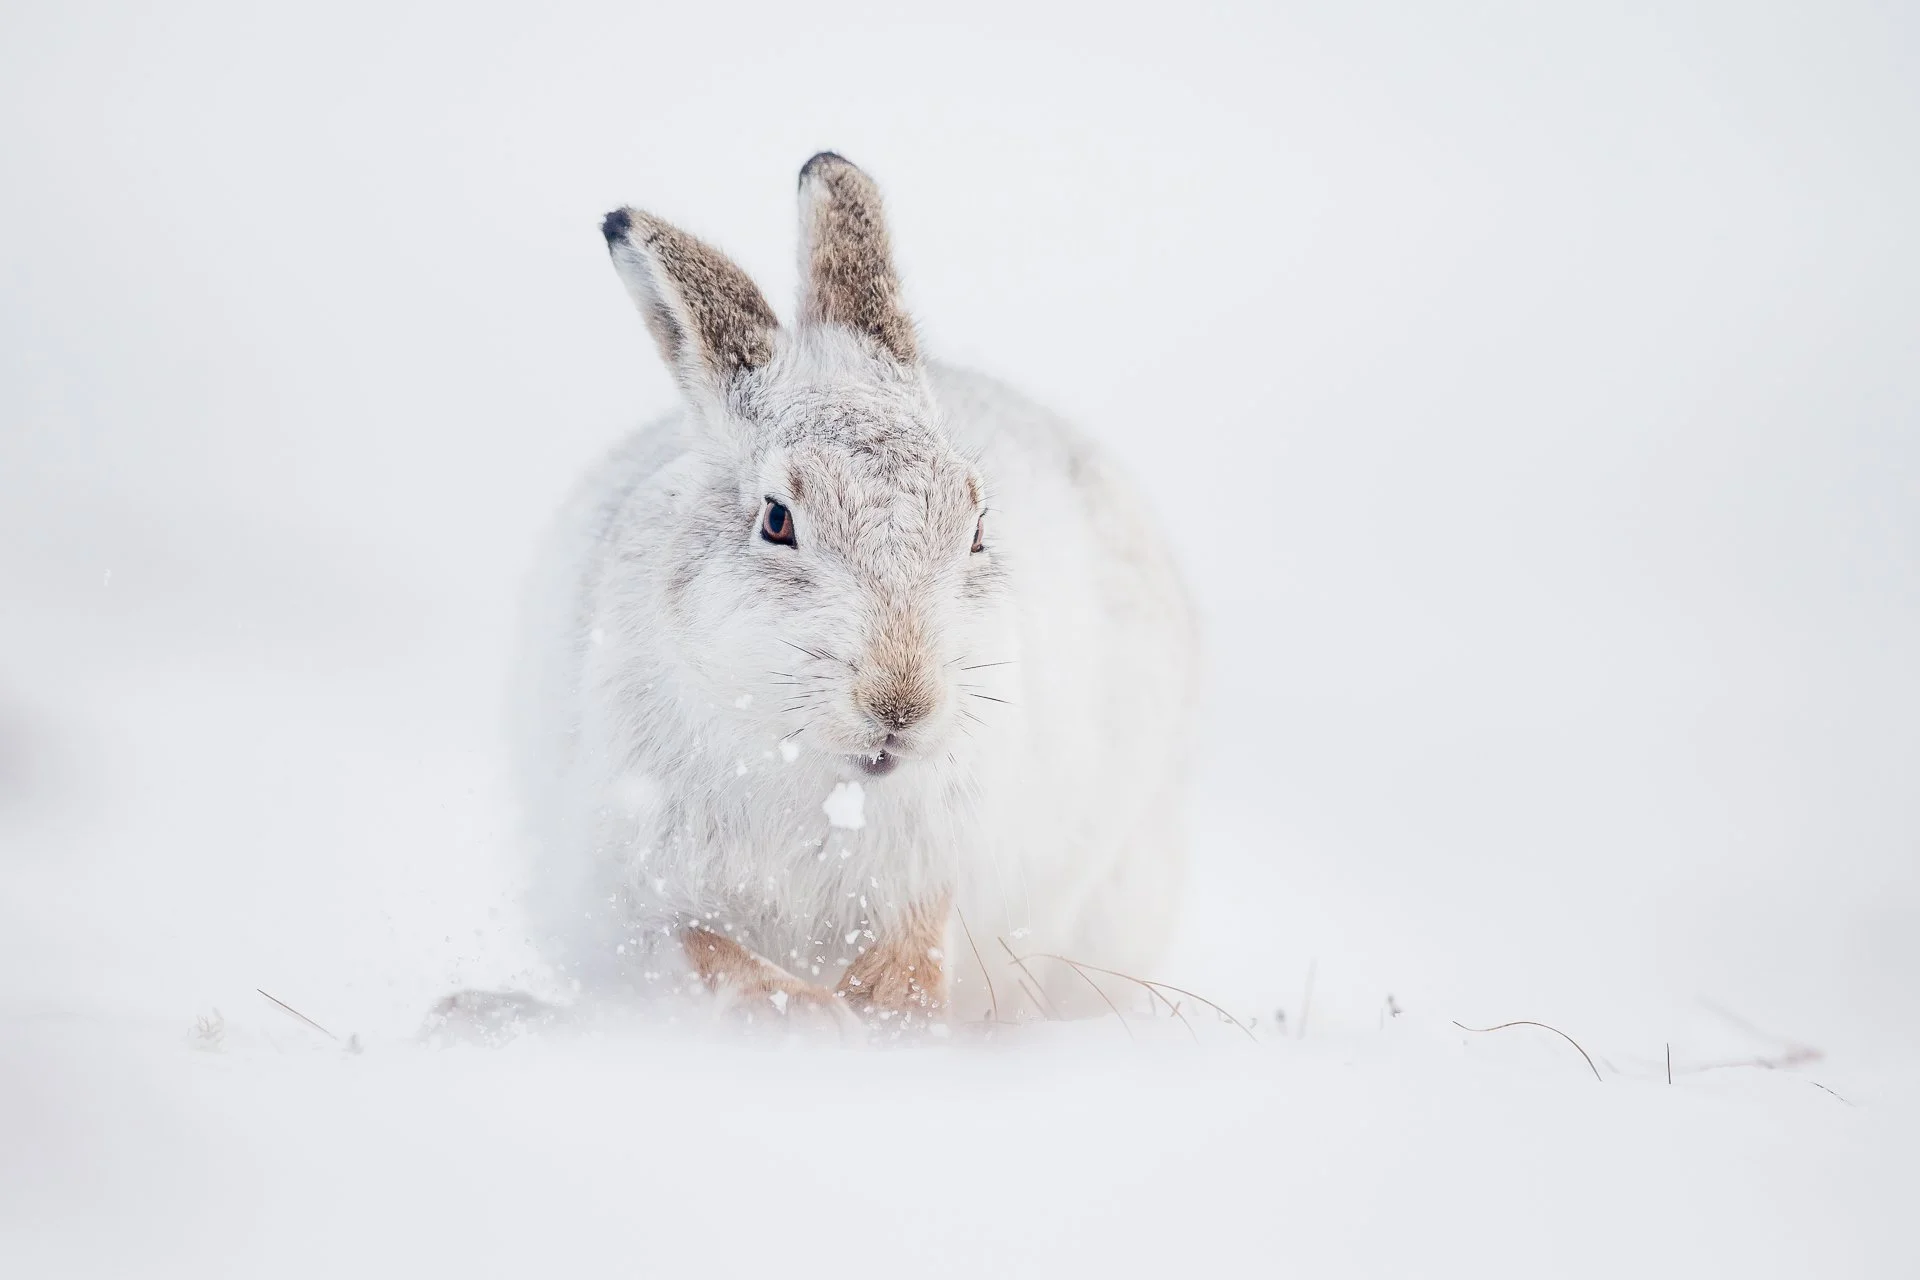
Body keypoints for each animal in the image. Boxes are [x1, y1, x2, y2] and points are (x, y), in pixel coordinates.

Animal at [507, 152, 1199, 1030]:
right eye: (776, 521)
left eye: (976, 528)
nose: (901, 704)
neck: (828, 771)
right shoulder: (633, 883)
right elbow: (701, 950)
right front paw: (804, 1012)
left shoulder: (954, 846)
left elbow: (926, 926)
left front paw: (889, 1002)